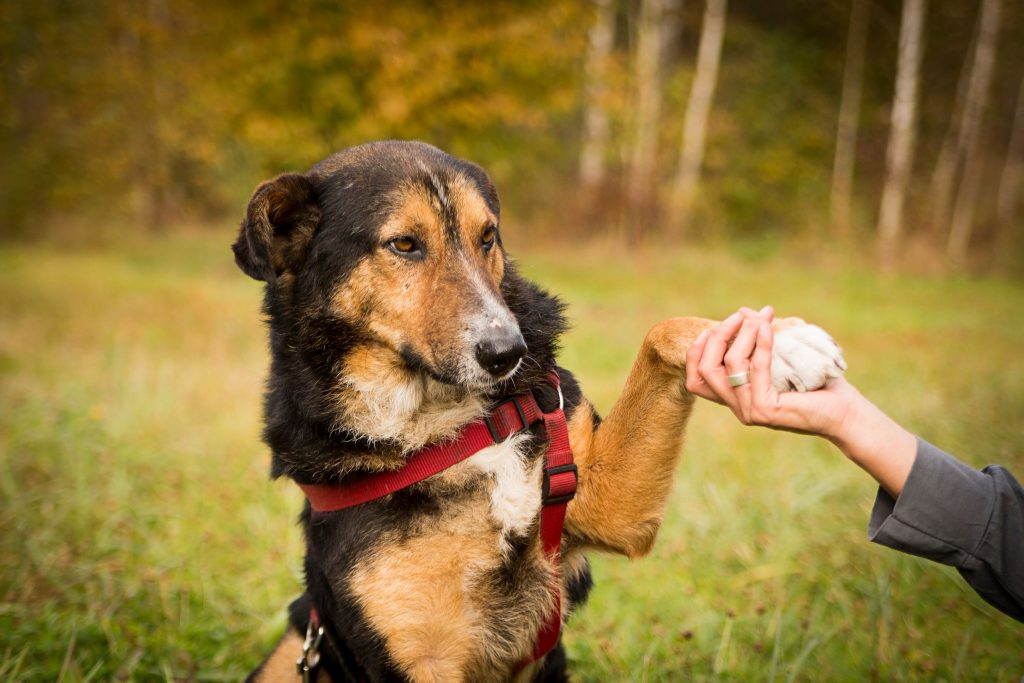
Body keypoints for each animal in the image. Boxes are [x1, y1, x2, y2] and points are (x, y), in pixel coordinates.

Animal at [235, 141, 843, 679]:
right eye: (404, 244)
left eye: (487, 237)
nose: (509, 352)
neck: (450, 423)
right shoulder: (420, 657)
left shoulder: (604, 502)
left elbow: (660, 332)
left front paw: (775, 343)